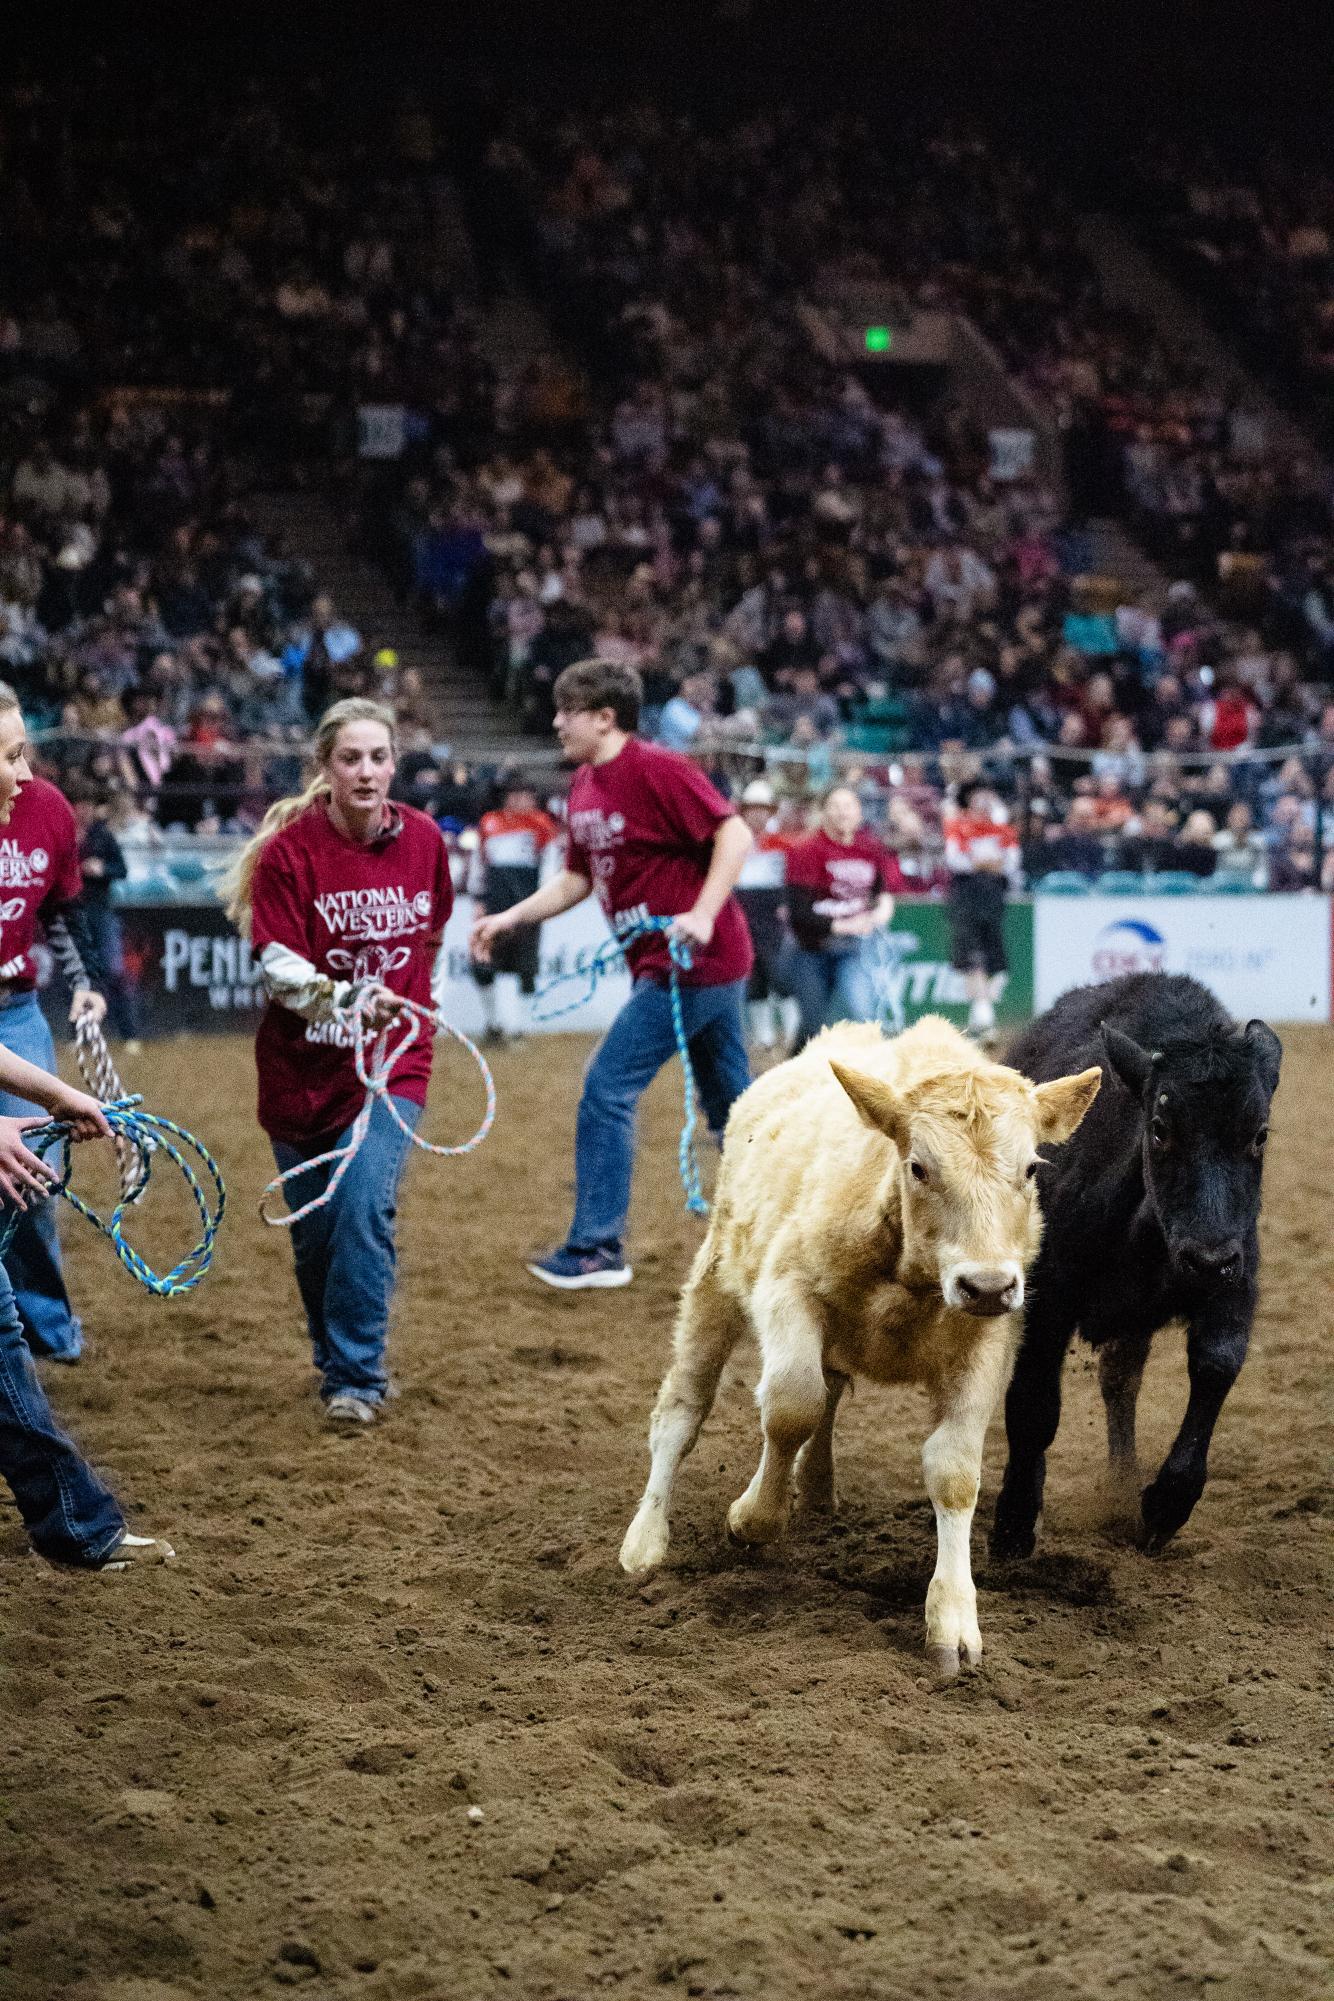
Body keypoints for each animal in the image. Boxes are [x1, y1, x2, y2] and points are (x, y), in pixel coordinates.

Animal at [620, 1016, 1104, 1672]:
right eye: (919, 1167)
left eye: (1031, 1168)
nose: (985, 1284)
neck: (909, 1275)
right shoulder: (787, 1290)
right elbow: (791, 1406)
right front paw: (752, 1517)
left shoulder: (987, 1339)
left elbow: (954, 1470)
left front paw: (954, 1620)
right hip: (715, 1280)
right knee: (683, 1411)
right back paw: (645, 1542)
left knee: (828, 1394)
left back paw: (816, 1489)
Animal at [992, 972, 1280, 1560]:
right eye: (1160, 1127)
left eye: (1259, 1133)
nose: (1206, 1258)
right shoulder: (1047, 1296)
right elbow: (1033, 1406)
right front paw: (1013, 1521)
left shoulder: (1235, 1282)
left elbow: (1215, 1367)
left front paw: (1165, 1505)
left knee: (1120, 1381)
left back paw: (1123, 1481)